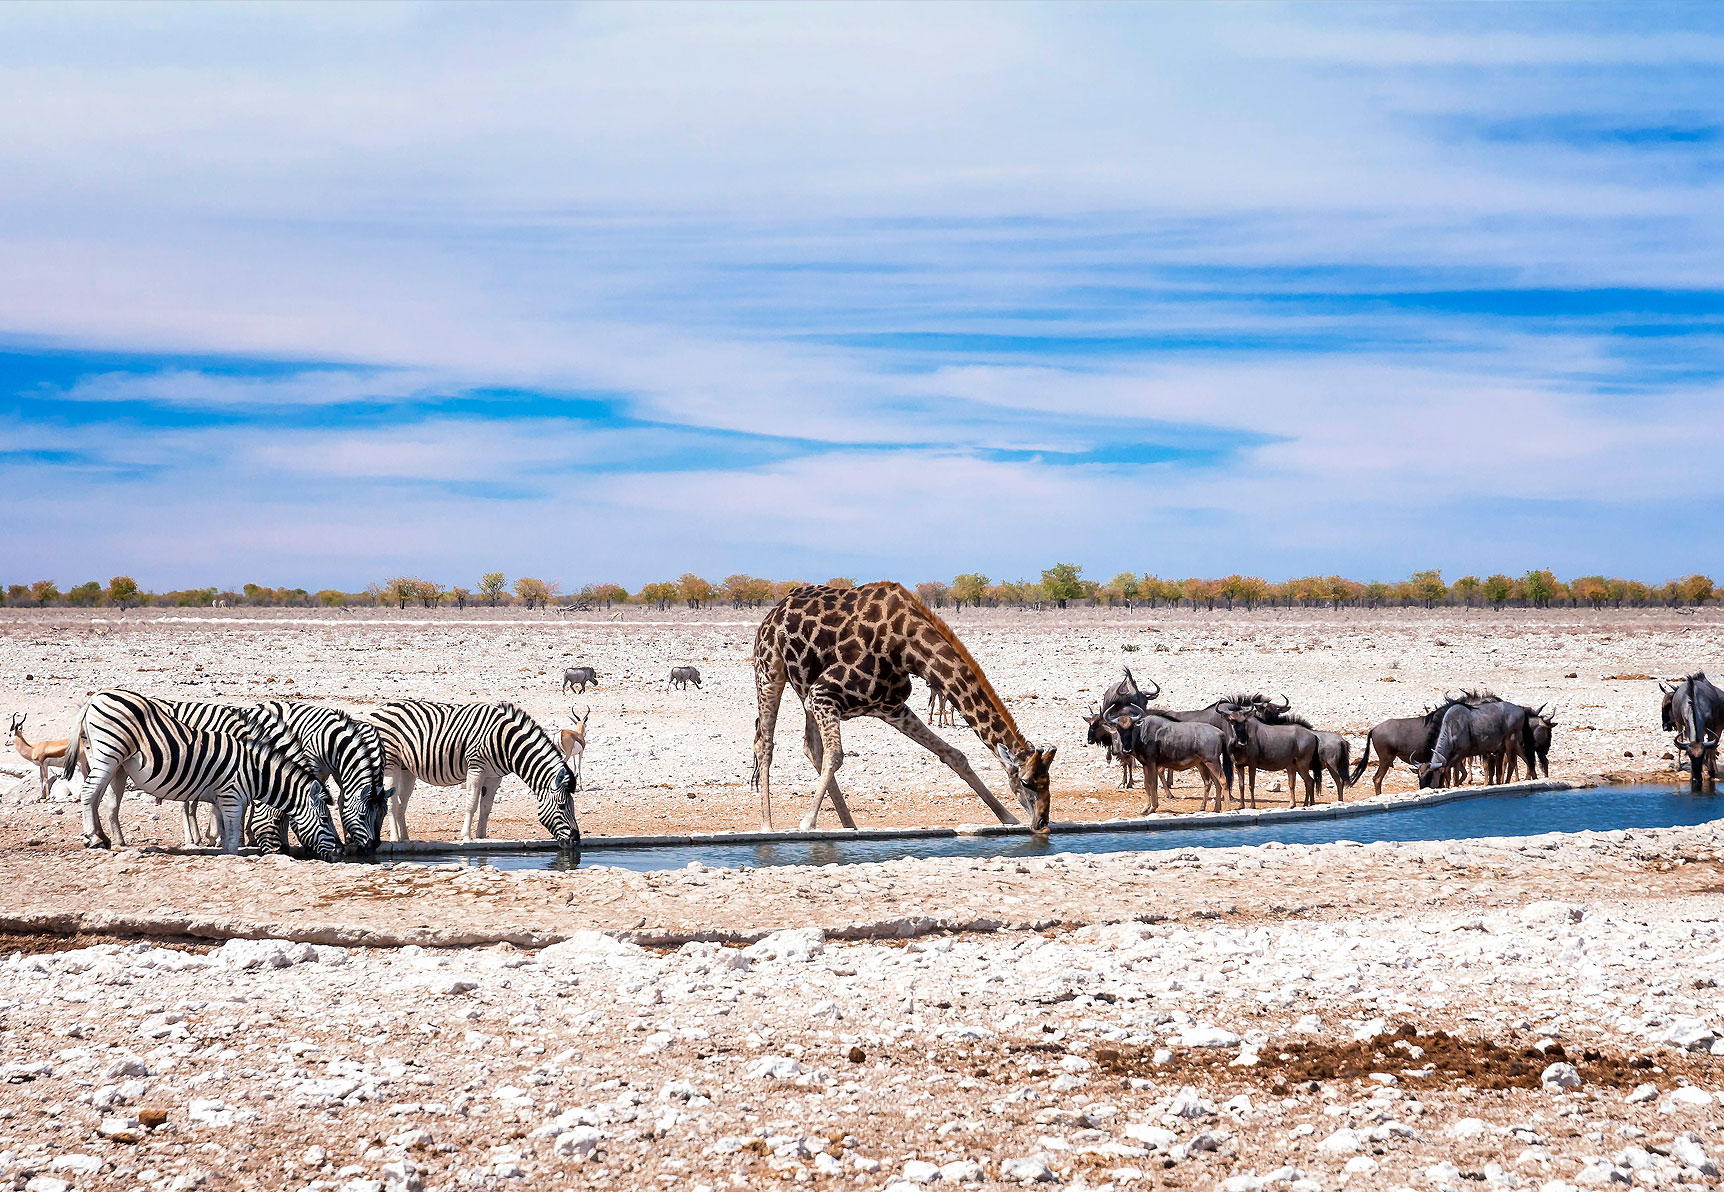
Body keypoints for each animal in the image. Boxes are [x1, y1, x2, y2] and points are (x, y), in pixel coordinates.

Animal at [59, 690, 339, 859]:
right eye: (325, 819)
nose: (338, 853)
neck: (255, 769)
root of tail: (96, 697)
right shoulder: (231, 796)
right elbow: (232, 833)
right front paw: (228, 851)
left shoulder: (224, 797)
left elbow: (224, 827)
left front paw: (217, 843)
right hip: (109, 753)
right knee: (89, 791)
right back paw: (94, 838)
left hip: (116, 763)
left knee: (104, 799)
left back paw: (110, 839)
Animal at [368, 700, 579, 848]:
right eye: (562, 806)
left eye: (572, 806)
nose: (576, 840)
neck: (506, 742)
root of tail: (378, 709)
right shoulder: (476, 767)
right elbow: (471, 803)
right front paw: (466, 836)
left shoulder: (495, 776)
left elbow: (486, 806)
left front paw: (482, 836)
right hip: (391, 764)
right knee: (392, 801)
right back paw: (395, 838)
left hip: (407, 769)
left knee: (402, 803)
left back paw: (405, 838)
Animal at [748, 583, 1055, 834]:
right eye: (1026, 782)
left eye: (1048, 781)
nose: (1042, 822)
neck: (907, 647)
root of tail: (773, 612)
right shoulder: (824, 691)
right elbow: (835, 755)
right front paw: (807, 822)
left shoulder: (890, 706)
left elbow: (953, 755)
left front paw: (1008, 818)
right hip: (770, 670)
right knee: (765, 743)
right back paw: (767, 826)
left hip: (804, 689)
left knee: (811, 747)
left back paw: (849, 825)